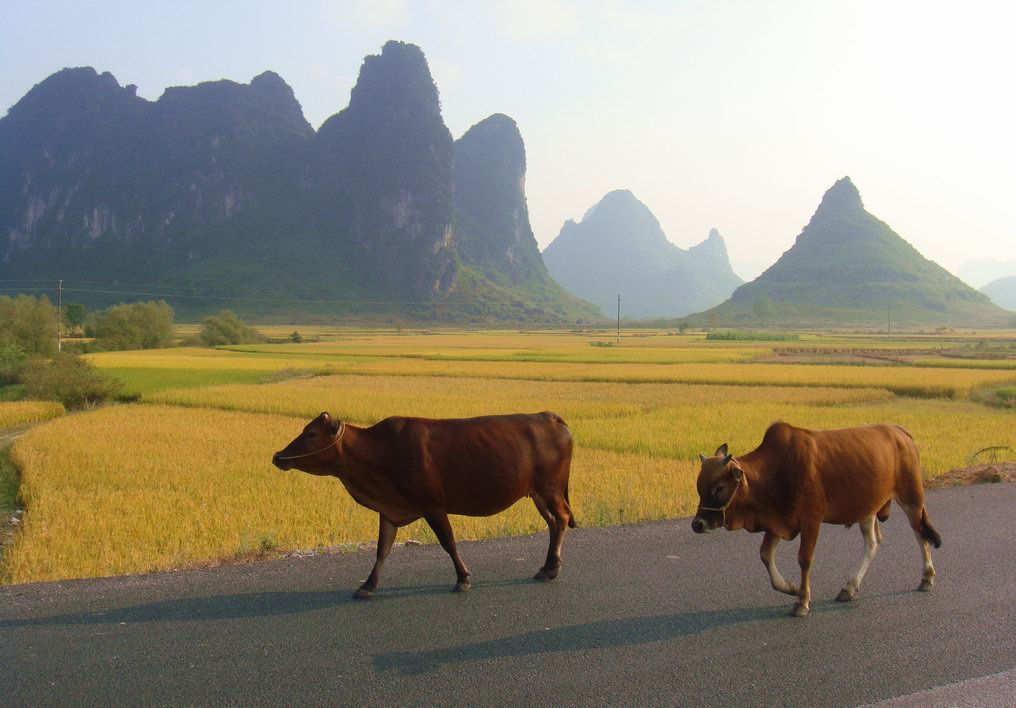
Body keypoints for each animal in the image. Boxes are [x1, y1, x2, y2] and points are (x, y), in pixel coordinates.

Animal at [270, 408, 577, 597]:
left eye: (311, 434)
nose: (277, 456)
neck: (378, 453)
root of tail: (548, 416)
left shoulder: (433, 506)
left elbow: (448, 543)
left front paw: (463, 579)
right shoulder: (390, 510)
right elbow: (382, 550)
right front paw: (368, 585)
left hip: (550, 488)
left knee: (561, 518)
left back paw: (552, 567)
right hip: (537, 493)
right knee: (552, 523)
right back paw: (547, 567)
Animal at [694, 422, 938, 617]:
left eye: (719, 488)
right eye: (699, 487)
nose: (697, 524)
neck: (775, 471)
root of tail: (900, 430)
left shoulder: (811, 520)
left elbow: (805, 559)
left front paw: (802, 601)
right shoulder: (778, 522)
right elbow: (765, 555)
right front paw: (790, 587)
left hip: (912, 499)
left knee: (920, 535)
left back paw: (927, 578)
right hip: (867, 508)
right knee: (873, 543)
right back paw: (849, 588)